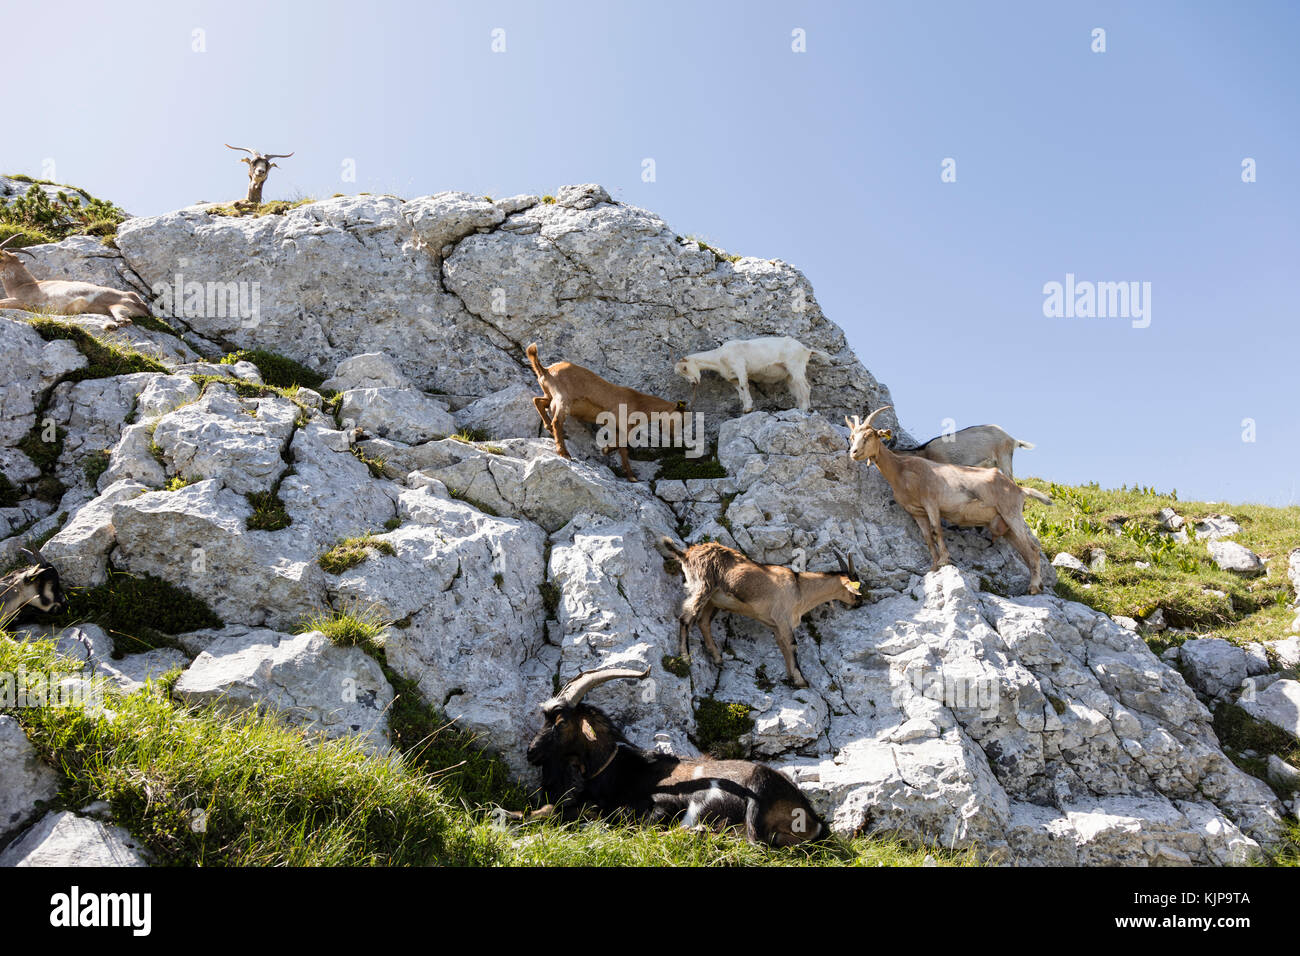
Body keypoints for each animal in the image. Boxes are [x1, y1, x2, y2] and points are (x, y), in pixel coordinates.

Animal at [518, 665, 827, 846]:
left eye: (560, 722)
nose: (531, 752)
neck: (617, 770)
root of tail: (813, 820)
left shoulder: (660, 805)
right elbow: (552, 809)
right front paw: (511, 814)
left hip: (755, 795)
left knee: (753, 843)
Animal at [527, 342, 686, 482]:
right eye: (681, 420)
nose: (675, 437)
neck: (638, 402)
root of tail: (546, 371)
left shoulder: (616, 427)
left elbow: (620, 446)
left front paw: (607, 452)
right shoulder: (623, 424)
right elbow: (624, 446)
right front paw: (630, 475)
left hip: (551, 395)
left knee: (538, 401)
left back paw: (548, 427)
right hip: (563, 399)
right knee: (557, 421)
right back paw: (564, 453)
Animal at [658, 537, 862, 688]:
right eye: (855, 587)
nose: (859, 602)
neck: (800, 588)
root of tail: (686, 554)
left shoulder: (776, 626)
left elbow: (784, 648)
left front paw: (791, 677)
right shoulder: (783, 619)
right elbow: (793, 646)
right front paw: (801, 680)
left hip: (713, 600)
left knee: (703, 622)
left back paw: (717, 658)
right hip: (702, 586)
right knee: (686, 618)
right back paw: (685, 658)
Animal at [673, 335, 830, 413]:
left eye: (685, 368)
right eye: (680, 374)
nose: (693, 382)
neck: (718, 357)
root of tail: (806, 349)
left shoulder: (740, 366)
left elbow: (744, 386)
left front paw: (748, 408)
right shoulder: (732, 378)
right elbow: (740, 392)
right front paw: (745, 408)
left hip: (795, 366)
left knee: (806, 387)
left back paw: (805, 409)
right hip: (790, 375)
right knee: (797, 389)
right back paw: (800, 407)